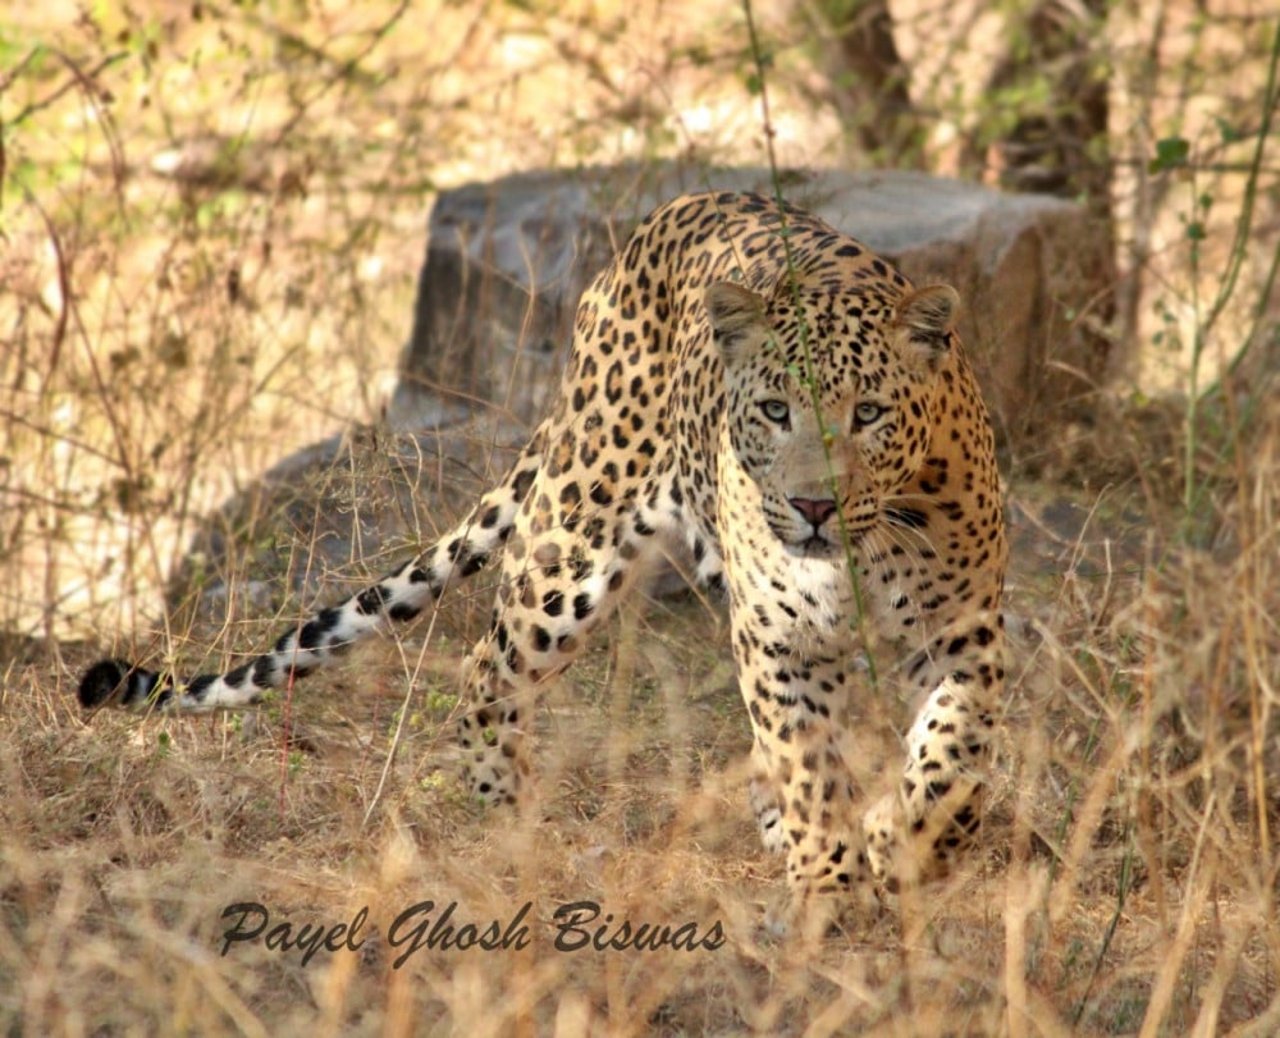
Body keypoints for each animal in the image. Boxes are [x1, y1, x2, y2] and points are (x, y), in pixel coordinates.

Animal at [77, 190, 1008, 931]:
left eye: (871, 413)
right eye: (777, 410)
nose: (813, 508)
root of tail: (660, 222)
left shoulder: (967, 637)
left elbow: (954, 764)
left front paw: (897, 841)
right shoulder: (778, 640)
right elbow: (811, 766)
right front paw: (832, 882)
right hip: (574, 541)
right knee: (486, 666)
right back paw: (510, 809)